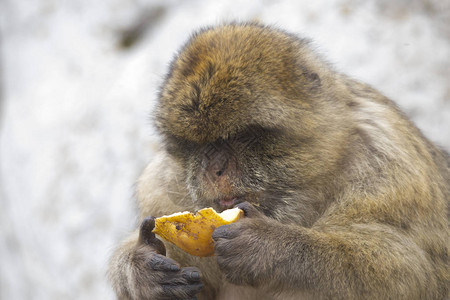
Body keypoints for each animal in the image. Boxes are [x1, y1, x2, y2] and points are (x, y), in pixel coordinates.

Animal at [107, 23, 448, 300]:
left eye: (242, 135)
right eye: (196, 145)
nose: (214, 169)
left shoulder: (388, 165)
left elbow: (410, 270)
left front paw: (270, 246)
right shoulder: (160, 190)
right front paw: (141, 268)